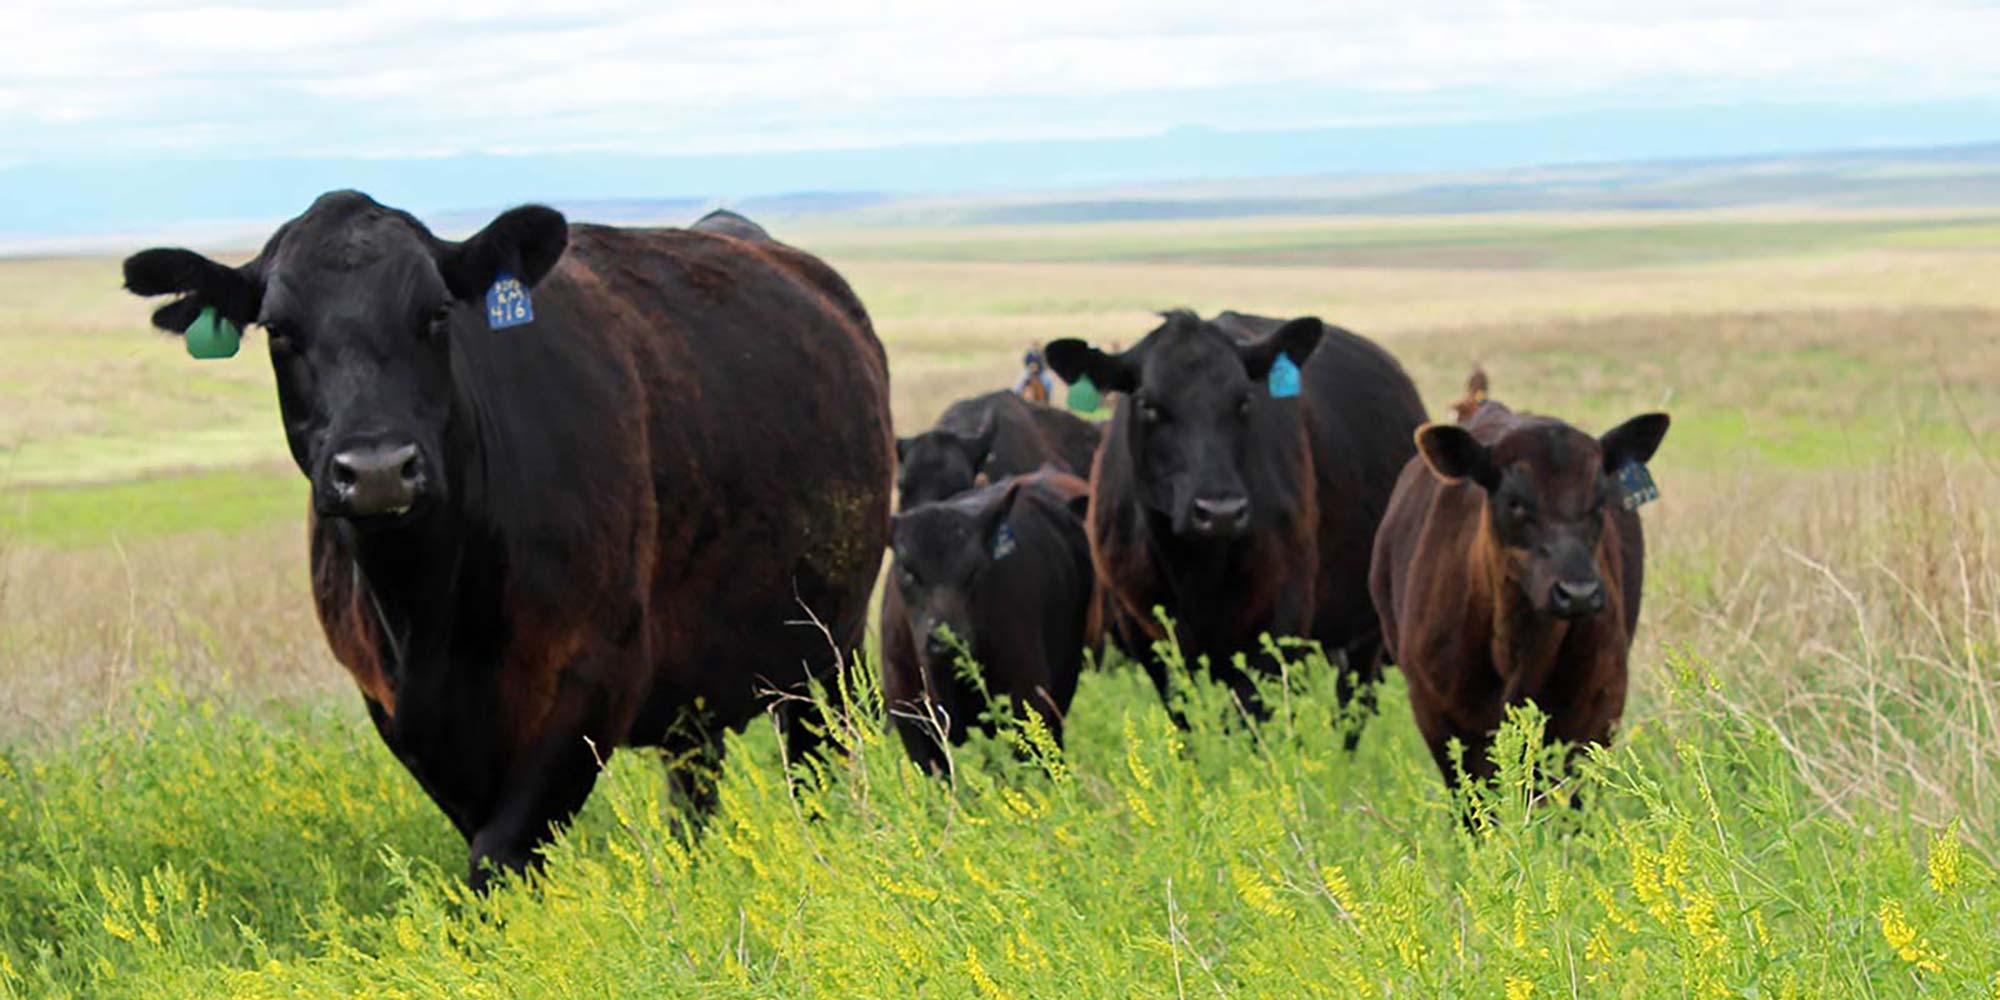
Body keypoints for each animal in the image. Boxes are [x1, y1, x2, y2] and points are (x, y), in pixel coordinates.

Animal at [115, 191, 884, 888]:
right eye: (278, 329)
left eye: (435, 313)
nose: (377, 470)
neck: (430, 609)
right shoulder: (404, 715)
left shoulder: (592, 677)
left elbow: (502, 859)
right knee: (693, 786)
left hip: (828, 654)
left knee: (816, 772)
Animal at [1040, 308, 1432, 732]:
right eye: (1148, 404)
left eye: (1244, 400)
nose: (1220, 512)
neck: (1191, 567)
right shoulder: (1145, 636)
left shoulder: (1276, 624)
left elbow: (1247, 724)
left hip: (1364, 628)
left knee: (1352, 711)